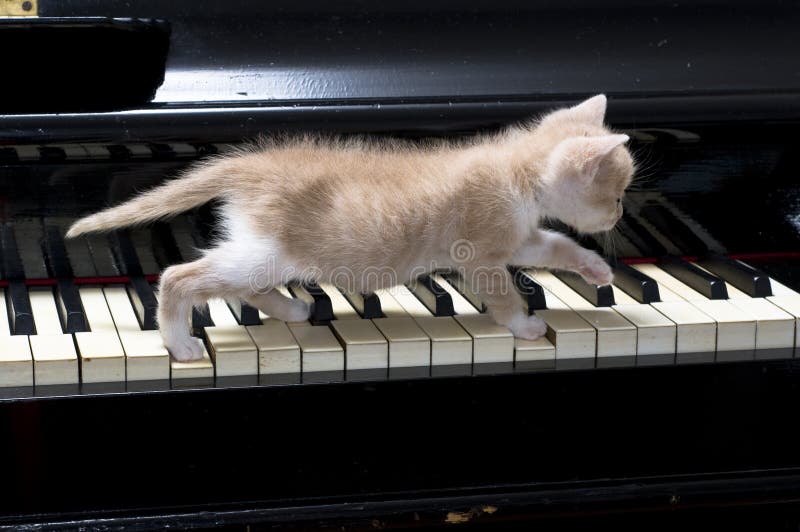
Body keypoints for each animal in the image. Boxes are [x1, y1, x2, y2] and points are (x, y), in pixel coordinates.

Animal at [67, 94, 632, 362]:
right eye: (617, 193)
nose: (619, 216)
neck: (518, 172)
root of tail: (252, 163)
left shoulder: (520, 235)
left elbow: (556, 245)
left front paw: (597, 269)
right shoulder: (481, 250)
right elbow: (503, 291)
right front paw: (527, 325)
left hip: (267, 251)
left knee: (247, 286)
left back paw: (294, 308)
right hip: (268, 250)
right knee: (179, 276)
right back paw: (179, 342)